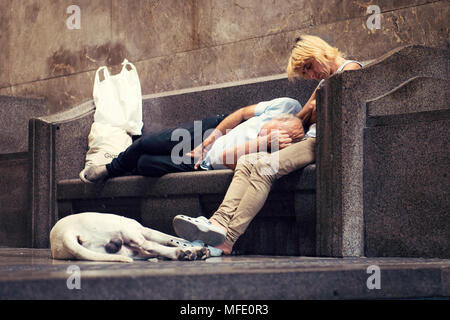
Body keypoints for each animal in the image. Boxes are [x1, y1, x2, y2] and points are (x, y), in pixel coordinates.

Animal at [50, 212, 210, 262]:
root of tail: (64, 232)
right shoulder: (144, 230)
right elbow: (168, 237)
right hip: (128, 231)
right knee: (148, 245)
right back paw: (188, 252)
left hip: (124, 250)